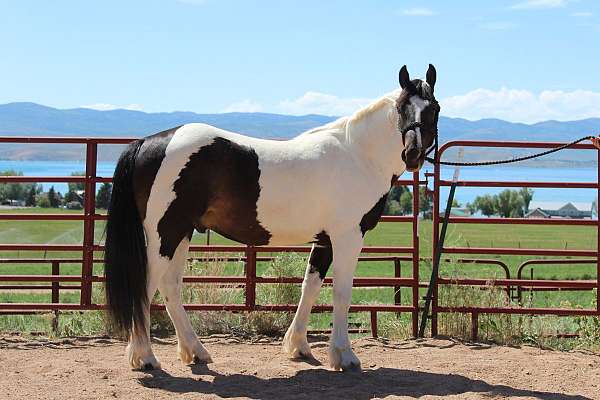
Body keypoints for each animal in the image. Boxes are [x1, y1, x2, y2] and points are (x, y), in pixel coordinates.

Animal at [104, 63, 440, 372]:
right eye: (401, 108)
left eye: (434, 109)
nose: (412, 154)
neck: (358, 155)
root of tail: (148, 143)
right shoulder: (348, 236)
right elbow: (342, 292)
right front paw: (344, 356)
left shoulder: (325, 241)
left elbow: (310, 287)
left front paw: (299, 347)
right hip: (166, 233)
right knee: (147, 285)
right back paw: (145, 357)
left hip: (181, 232)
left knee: (170, 286)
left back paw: (194, 351)